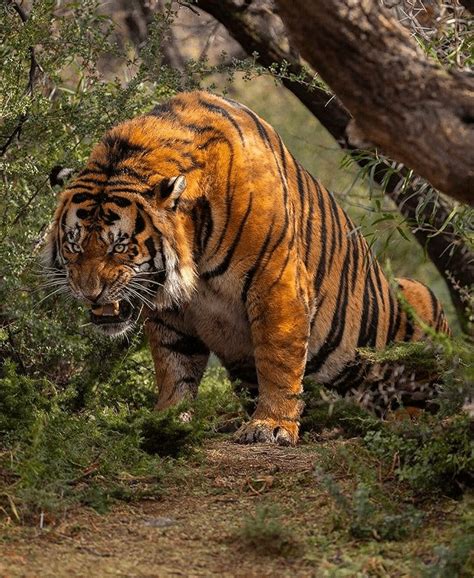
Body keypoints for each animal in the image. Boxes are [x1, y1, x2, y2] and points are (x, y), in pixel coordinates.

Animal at [42, 90, 450, 444]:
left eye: (119, 246)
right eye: (74, 243)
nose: (89, 291)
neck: (195, 248)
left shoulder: (277, 283)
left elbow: (277, 360)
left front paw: (270, 426)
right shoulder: (171, 311)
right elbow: (174, 366)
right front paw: (166, 421)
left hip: (420, 309)